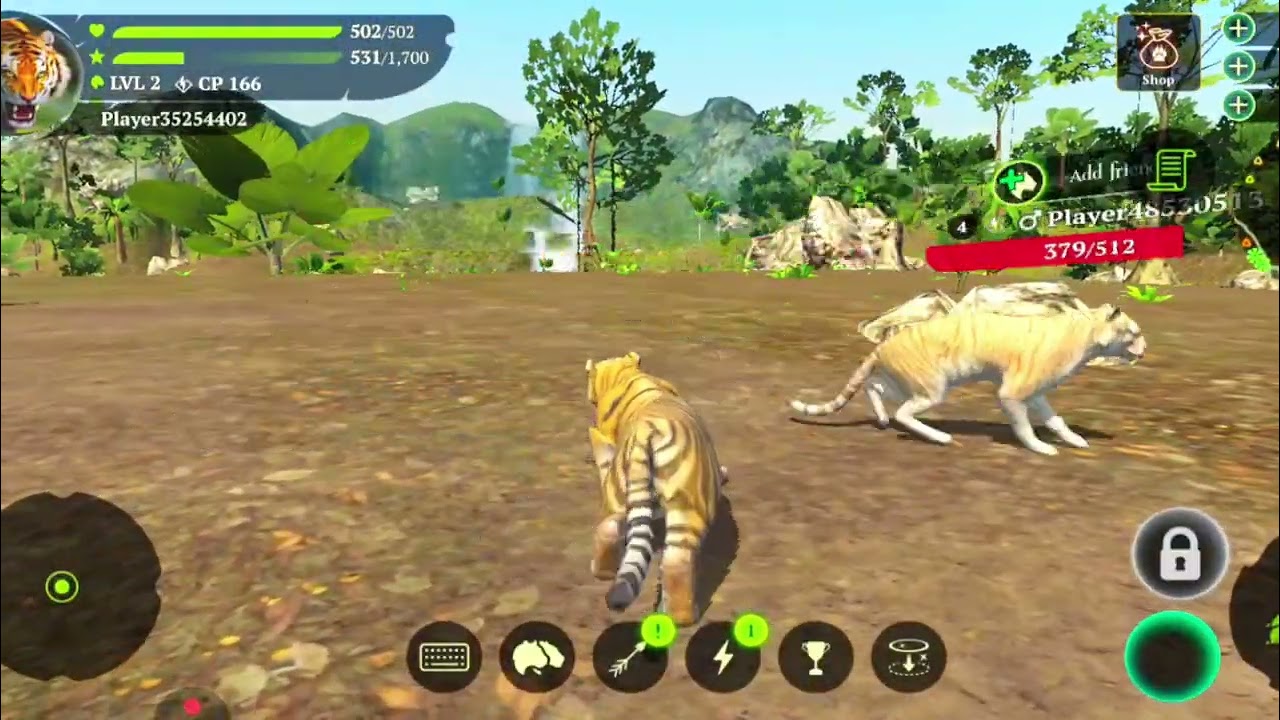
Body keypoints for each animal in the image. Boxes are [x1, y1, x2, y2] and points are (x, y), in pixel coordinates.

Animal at [789, 304, 1146, 456]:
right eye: (1134, 333)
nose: (1145, 350)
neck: (1084, 333)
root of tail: (883, 344)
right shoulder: (1012, 392)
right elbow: (1025, 427)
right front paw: (1041, 448)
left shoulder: (1037, 394)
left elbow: (1056, 420)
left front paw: (1075, 440)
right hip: (932, 387)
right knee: (903, 413)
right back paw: (941, 438)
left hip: (904, 383)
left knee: (873, 388)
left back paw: (881, 419)